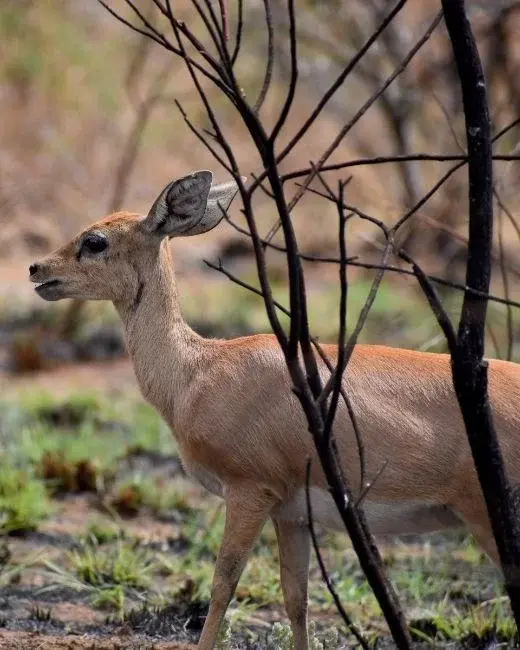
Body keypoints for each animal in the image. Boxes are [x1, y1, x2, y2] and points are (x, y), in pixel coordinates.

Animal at [30, 170, 516, 644]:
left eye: (96, 241)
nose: (36, 268)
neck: (197, 372)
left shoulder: (249, 490)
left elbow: (223, 582)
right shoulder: (291, 512)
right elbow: (296, 598)